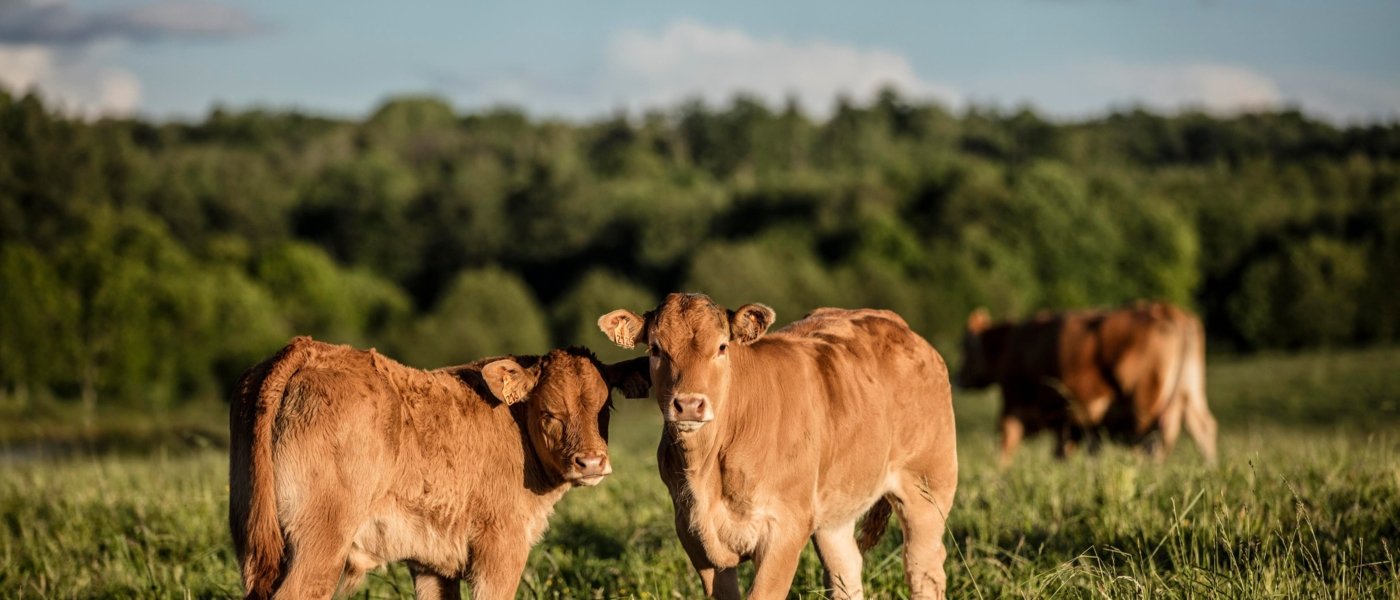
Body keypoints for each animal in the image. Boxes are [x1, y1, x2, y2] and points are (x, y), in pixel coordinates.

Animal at [225, 337, 649, 598]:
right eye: (549, 413)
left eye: (605, 407)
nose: (591, 461)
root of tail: (308, 348)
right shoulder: (501, 546)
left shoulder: (431, 561)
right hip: (320, 541)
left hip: (255, 539)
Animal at [596, 295, 957, 598]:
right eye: (656, 349)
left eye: (722, 347)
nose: (688, 405)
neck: (708, 471)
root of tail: (897, 325)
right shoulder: (693, 533)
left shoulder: (785, 527)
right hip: (835, 512)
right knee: (845, 570)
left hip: (927, 486)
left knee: (924, 568)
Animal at [957, 302, 1220, 464]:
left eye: (966, 347)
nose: (958, 378)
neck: (1011, 343)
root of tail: (1168, 310)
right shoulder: (1075, 423)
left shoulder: (1015, 406)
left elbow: (1005, 445)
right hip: (1190, 390)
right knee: (1202, 428)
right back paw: (1209, 467)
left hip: (1145, 399)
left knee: (1151, 437)